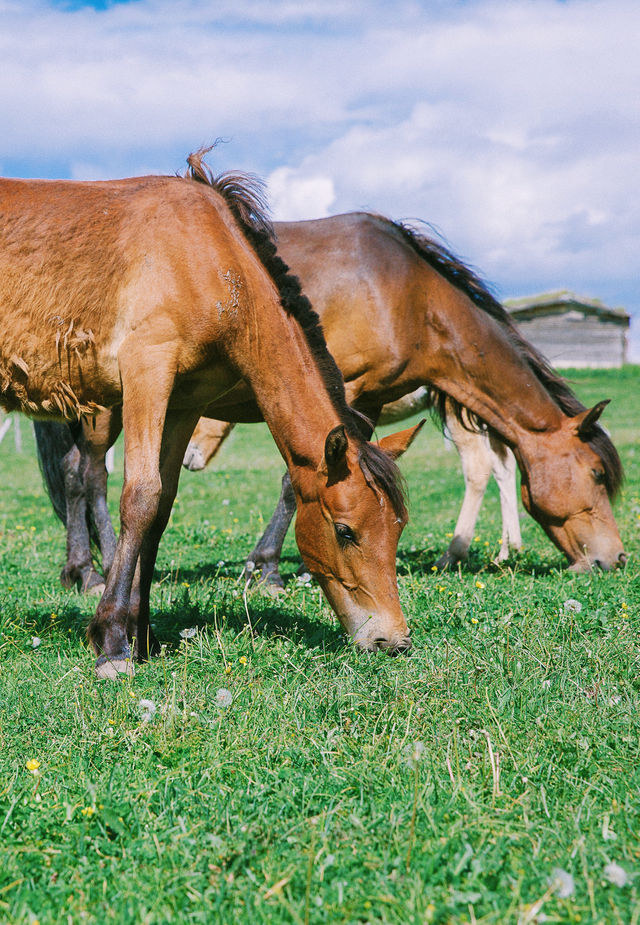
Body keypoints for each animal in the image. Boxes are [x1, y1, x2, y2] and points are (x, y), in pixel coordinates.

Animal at [1, 152, 420, 676]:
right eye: (345, 531)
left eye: (398, 527)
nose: (392, 639)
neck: (209, 263)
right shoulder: (147, 371)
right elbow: (140, 496)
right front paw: (113, 641)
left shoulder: (185, 400)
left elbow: (160, 508)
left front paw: (142, 636)